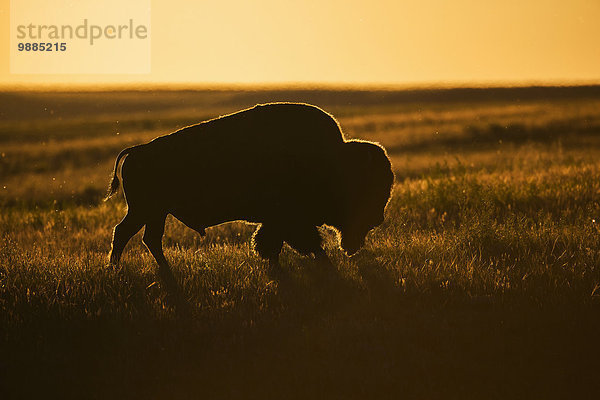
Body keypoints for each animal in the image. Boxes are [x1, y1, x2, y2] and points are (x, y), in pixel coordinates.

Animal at [106, 103, 396, 296]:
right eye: (367, 188)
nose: (378, 218)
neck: (334, 162)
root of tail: (138, 151)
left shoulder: (277, 221)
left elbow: (273, 244)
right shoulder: (289, 219)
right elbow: (306, 243)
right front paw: (327, 268)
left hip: (155, 213)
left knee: (145, 238)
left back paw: (155, 273)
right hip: (145, 210)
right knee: (126, 233)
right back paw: (116, 271)